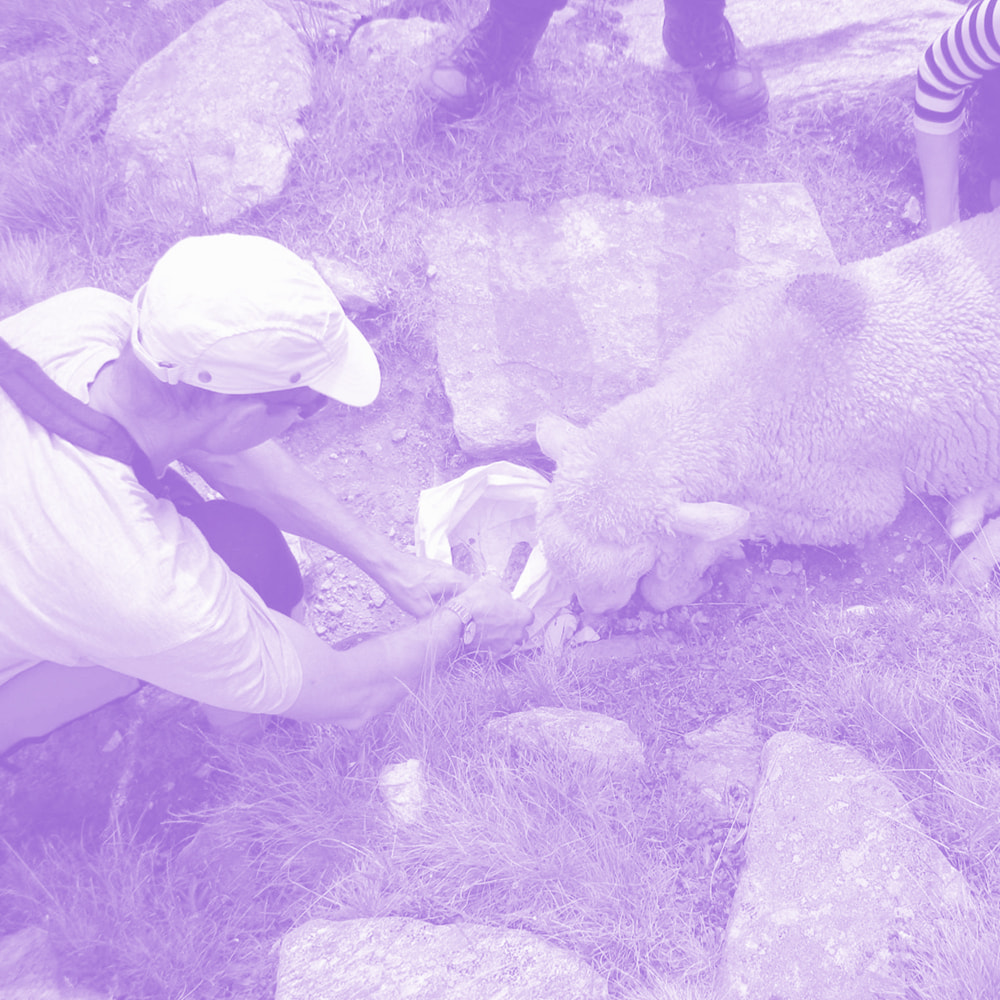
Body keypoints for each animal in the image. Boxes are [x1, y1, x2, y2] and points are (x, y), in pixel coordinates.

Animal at [535, 208, 1000, 613]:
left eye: (634, 564)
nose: (597, 613)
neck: (732, 396)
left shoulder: (851, 503)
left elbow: (725, 531)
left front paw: (690, 574)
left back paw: (970, 563)